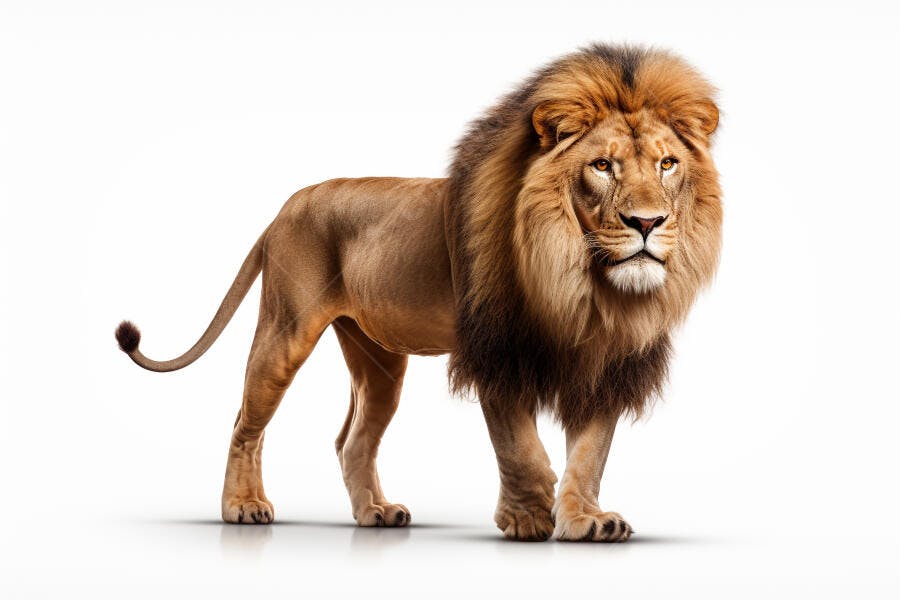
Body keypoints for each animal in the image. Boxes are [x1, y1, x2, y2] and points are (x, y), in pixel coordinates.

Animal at [115, 43, 722, 542]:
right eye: (601, 166)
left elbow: (591, 453)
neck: (581, 283)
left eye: (667, 164)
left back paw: (376, 513)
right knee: (246, 422)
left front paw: (585, 519)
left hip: (378, 358)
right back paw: (243, 506)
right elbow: (521, 447)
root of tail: (285, 207)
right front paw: (527, 517)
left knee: (353, 439)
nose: (647, 222)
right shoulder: (495, 352)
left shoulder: (606, 362)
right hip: (286, 330)